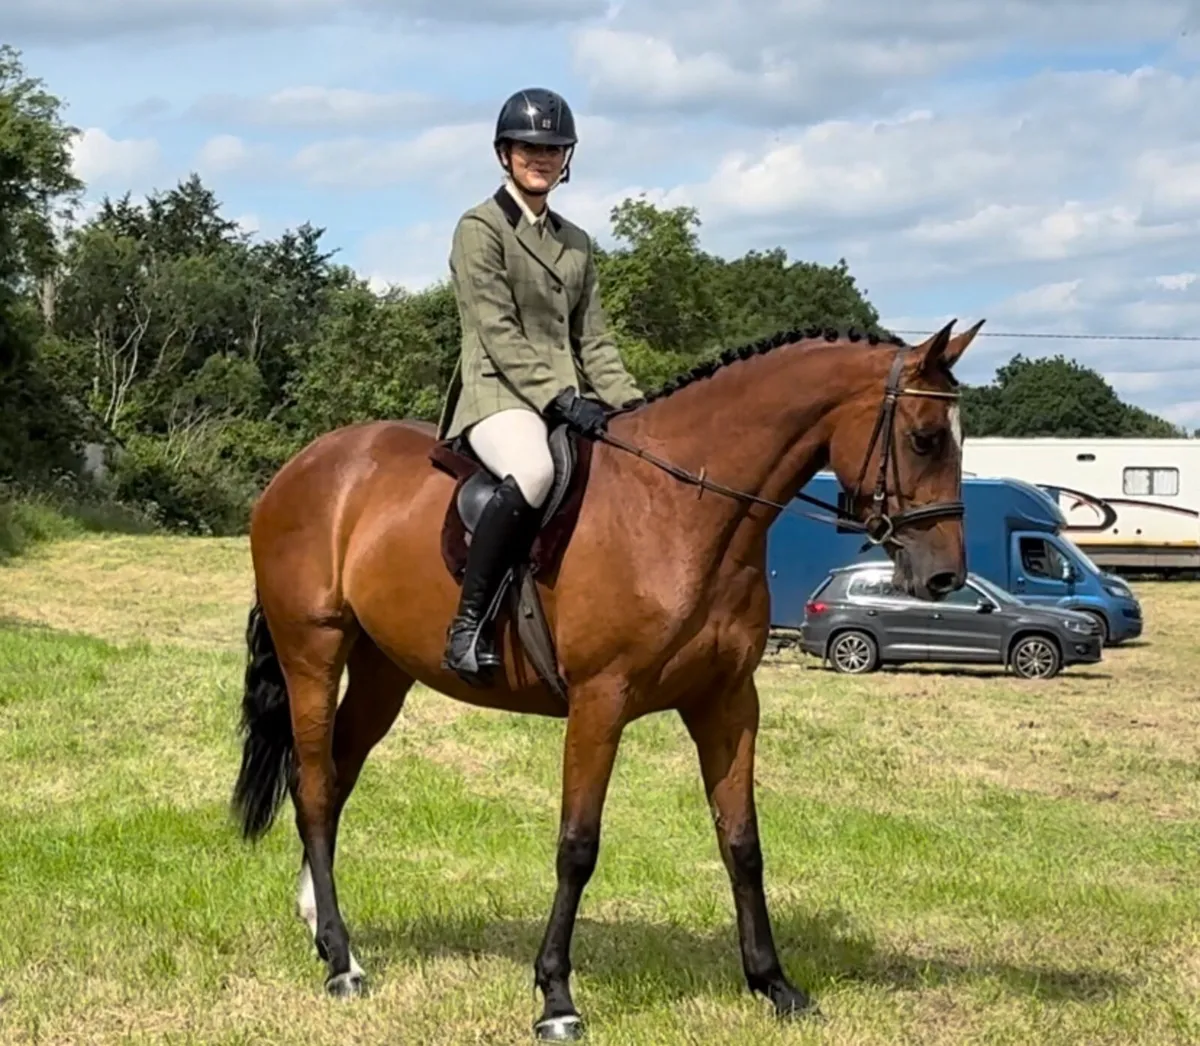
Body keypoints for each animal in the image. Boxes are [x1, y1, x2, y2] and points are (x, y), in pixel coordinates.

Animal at [230, 317, 984, 1040]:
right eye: (923, 439)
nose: (943, 577)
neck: (681, 508)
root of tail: (306, 465)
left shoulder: (728, 702)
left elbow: (742, 842)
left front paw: (775, 985)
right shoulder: (601, 700)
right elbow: (578, 846)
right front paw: (555, 1000)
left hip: (383, 672)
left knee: (332, 777)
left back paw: (322, 929)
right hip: (313, 653)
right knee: (316, 787)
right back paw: (341, 963)